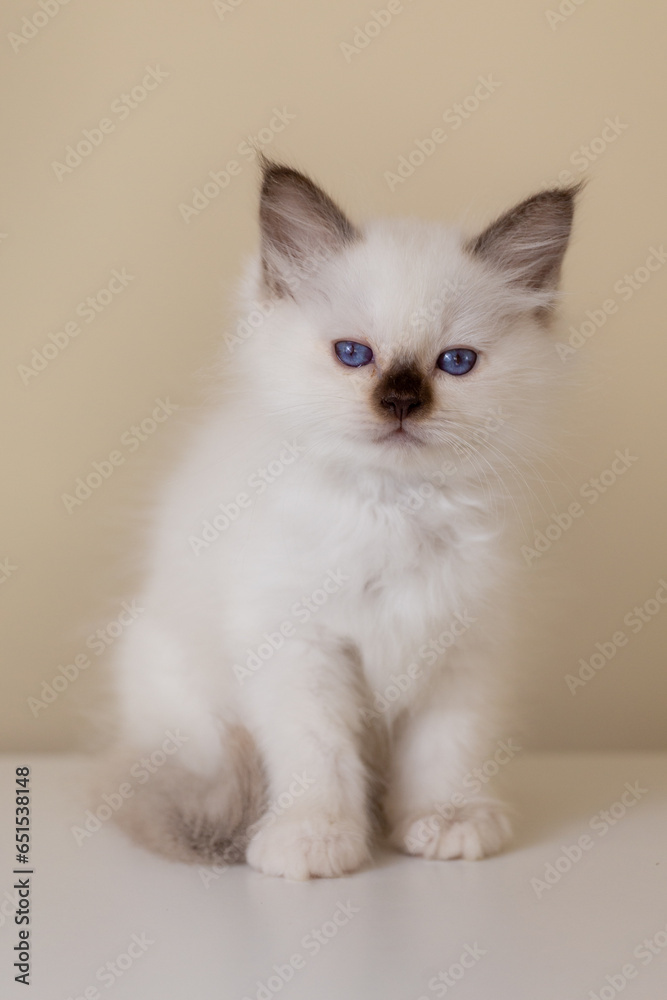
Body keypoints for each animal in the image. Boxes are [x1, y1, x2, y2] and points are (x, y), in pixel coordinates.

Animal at [105, 160, 580, 880]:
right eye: (353, 354)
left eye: (456, 362)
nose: (401, 402)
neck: (396, 509)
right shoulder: (299, 645)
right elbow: (316, 757)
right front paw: (314, 839)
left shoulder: (461, 646)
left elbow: (445, 751)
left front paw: (444, 822)